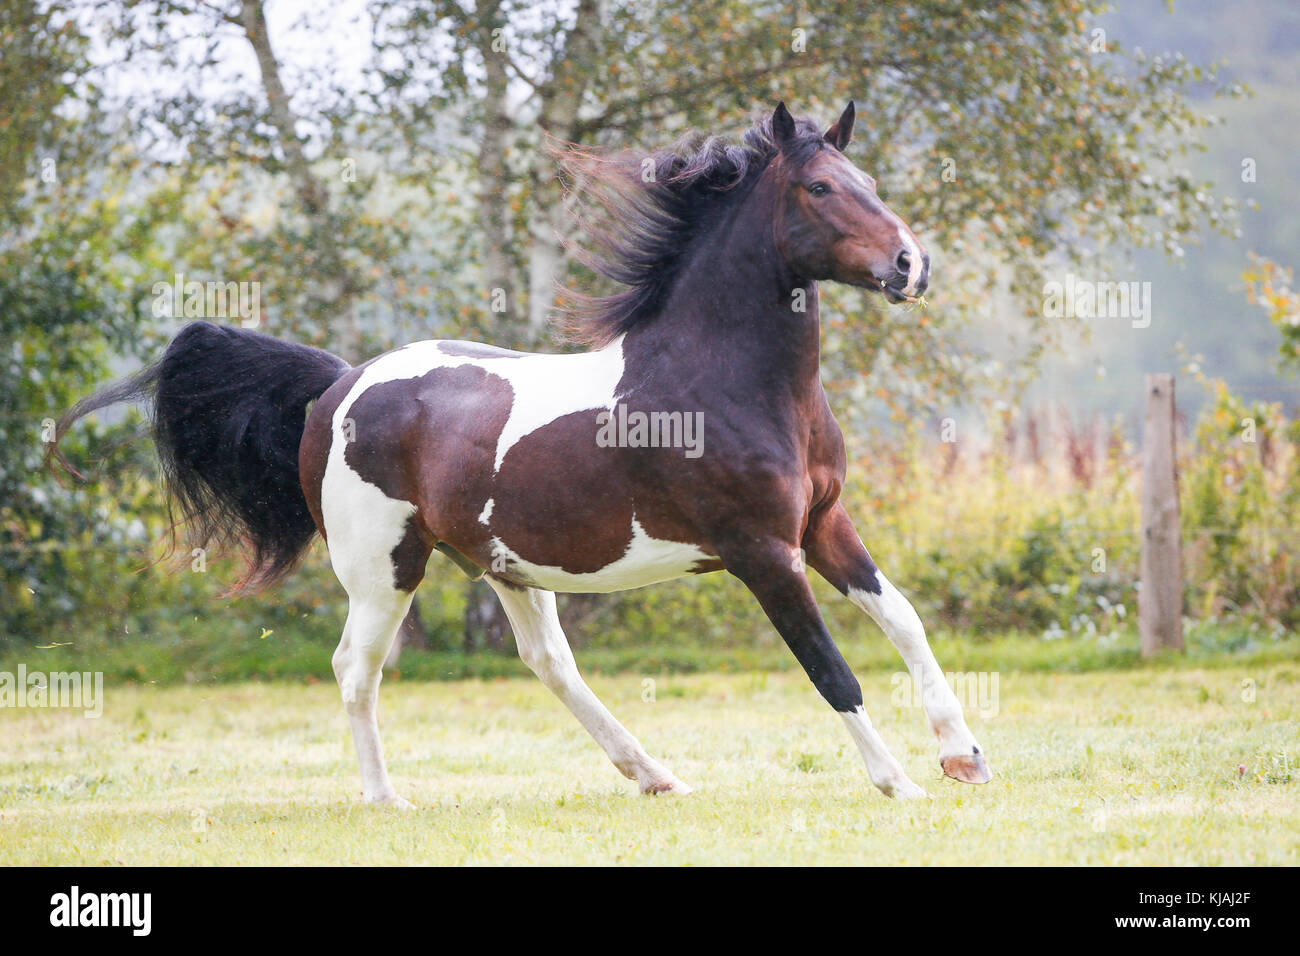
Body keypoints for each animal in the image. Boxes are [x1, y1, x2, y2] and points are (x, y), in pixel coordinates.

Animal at [48, 102, 982, 806]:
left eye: (870, 184)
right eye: (821, 187)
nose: (911, 265)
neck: (723, 381)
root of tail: (342, 384)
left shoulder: (822, 524)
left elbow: (903, 620)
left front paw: (963, 755)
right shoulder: (761, 550)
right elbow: (831, 668)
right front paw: (899, 781)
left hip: (503, 562)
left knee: (548, 664)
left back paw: (655, 776)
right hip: (385, 566)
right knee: (357, 668)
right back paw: (386, 799)